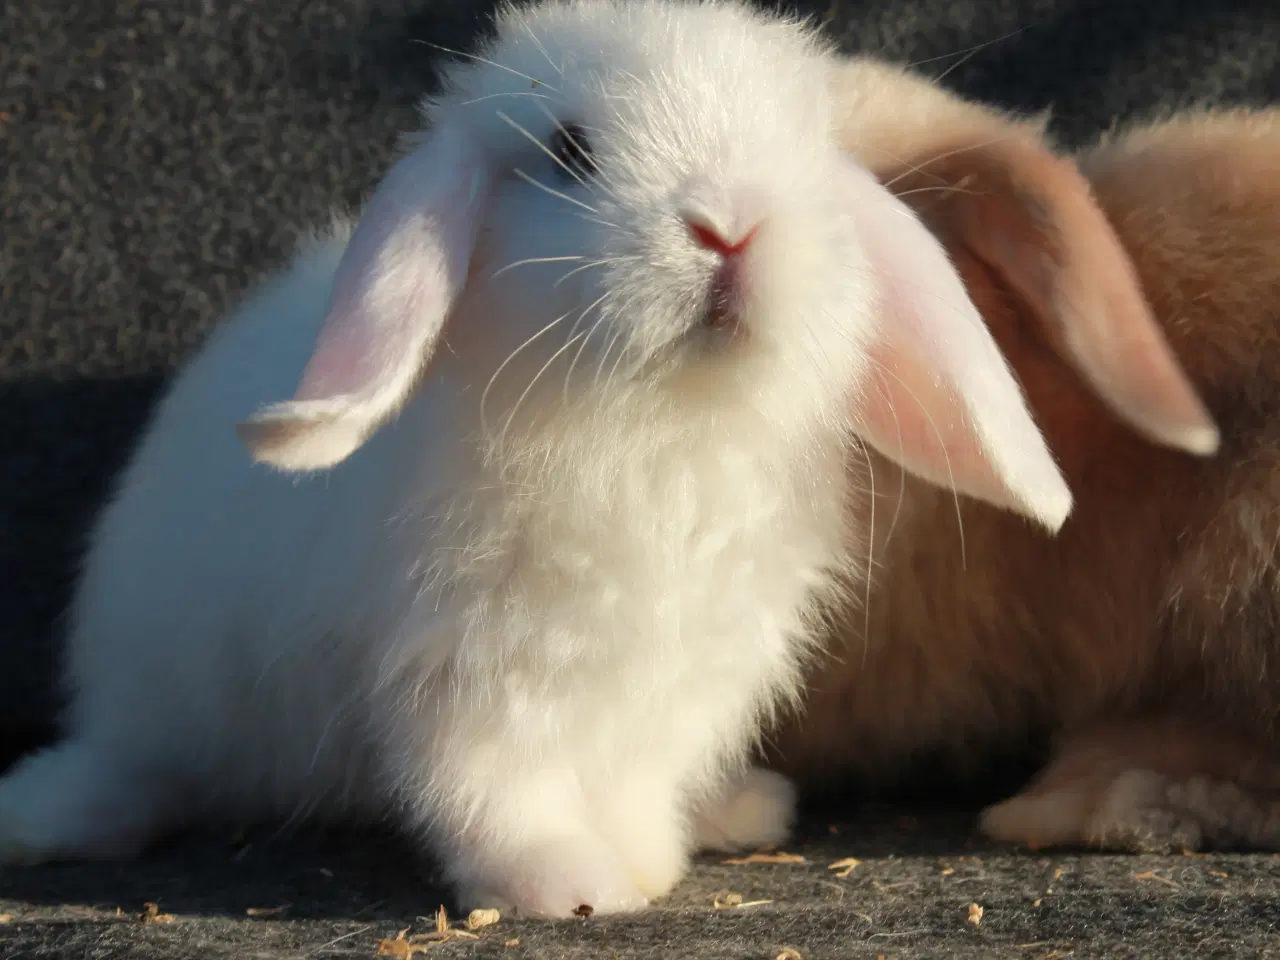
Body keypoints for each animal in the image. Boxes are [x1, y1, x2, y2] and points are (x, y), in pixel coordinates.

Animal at [0, 0, 1075, 916]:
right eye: (569, 151)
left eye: (810, 161)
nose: (730, 223)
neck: (657, 427)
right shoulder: (467, 681)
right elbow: (498, 795)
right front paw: (573, 886)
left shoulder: (679, 684)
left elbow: (637, 782)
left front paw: (649, 860)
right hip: (158, 700)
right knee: (138, 773)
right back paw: (43, 816)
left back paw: (735, 809)